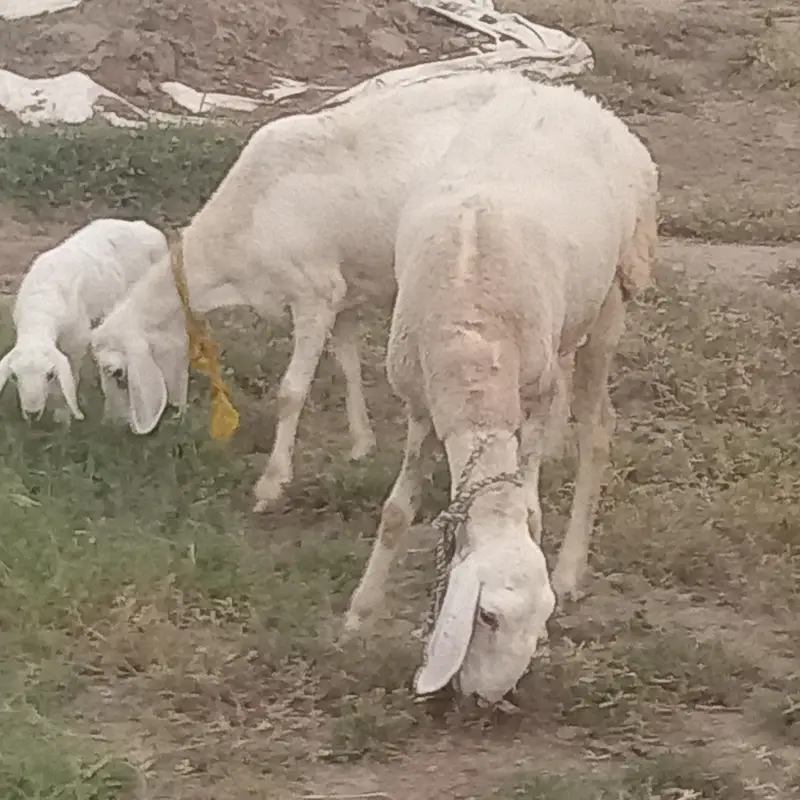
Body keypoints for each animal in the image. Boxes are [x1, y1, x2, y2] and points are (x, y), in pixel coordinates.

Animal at [0, 218, 169, 424]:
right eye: (14, 377)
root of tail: (144, 225)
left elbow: (71, 377)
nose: (32, 414)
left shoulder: (77, 340)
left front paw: (63, 415)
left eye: (49, 375)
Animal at [89, 70, 551, 512]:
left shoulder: (314, 294)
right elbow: (348, 367)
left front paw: (272, 484)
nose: (112, 432)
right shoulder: (341, 293)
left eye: (117, 373)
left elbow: (291, 392)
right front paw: (362, 444)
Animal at [343, 80, 659, 703]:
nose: (488, 699)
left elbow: (530, 508)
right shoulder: (420, 402)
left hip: (610, 302)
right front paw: (359, 615)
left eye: (538, 621)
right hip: (566, 323)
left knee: (598, 429)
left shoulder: (528, 393)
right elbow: (396, 512)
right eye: (487, 617)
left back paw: (571, 565)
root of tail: (572, 94)